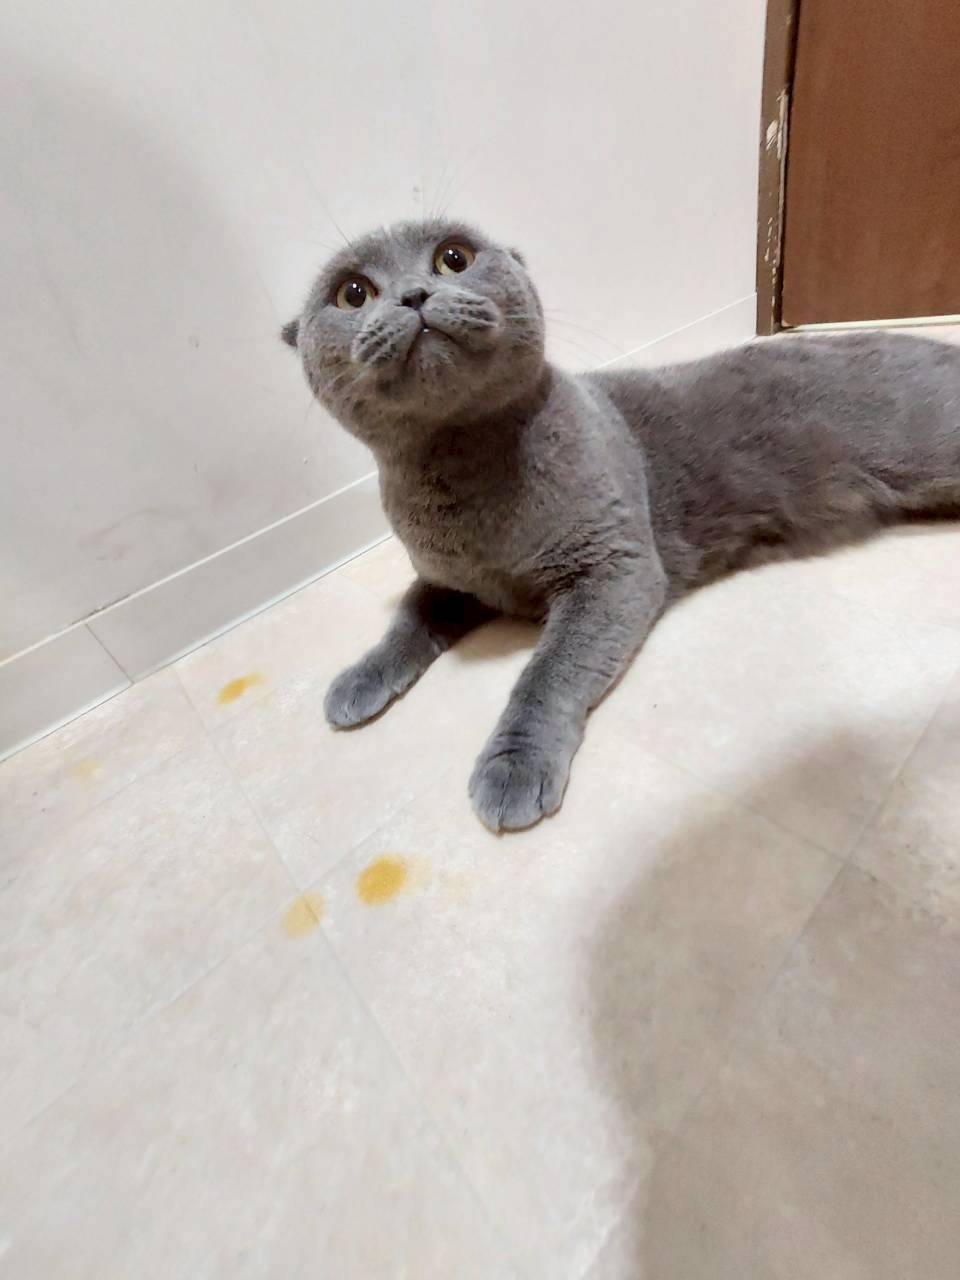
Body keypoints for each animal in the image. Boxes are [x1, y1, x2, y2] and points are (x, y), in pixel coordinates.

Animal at [282, 218, 960, 832]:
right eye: (352, 293)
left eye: (454, 257)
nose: (414, 295)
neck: (464, 472)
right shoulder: (448, 579)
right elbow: (406, 619)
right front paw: (358, 680)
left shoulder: (614, 569)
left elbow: (547, 673)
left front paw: (515, 766)